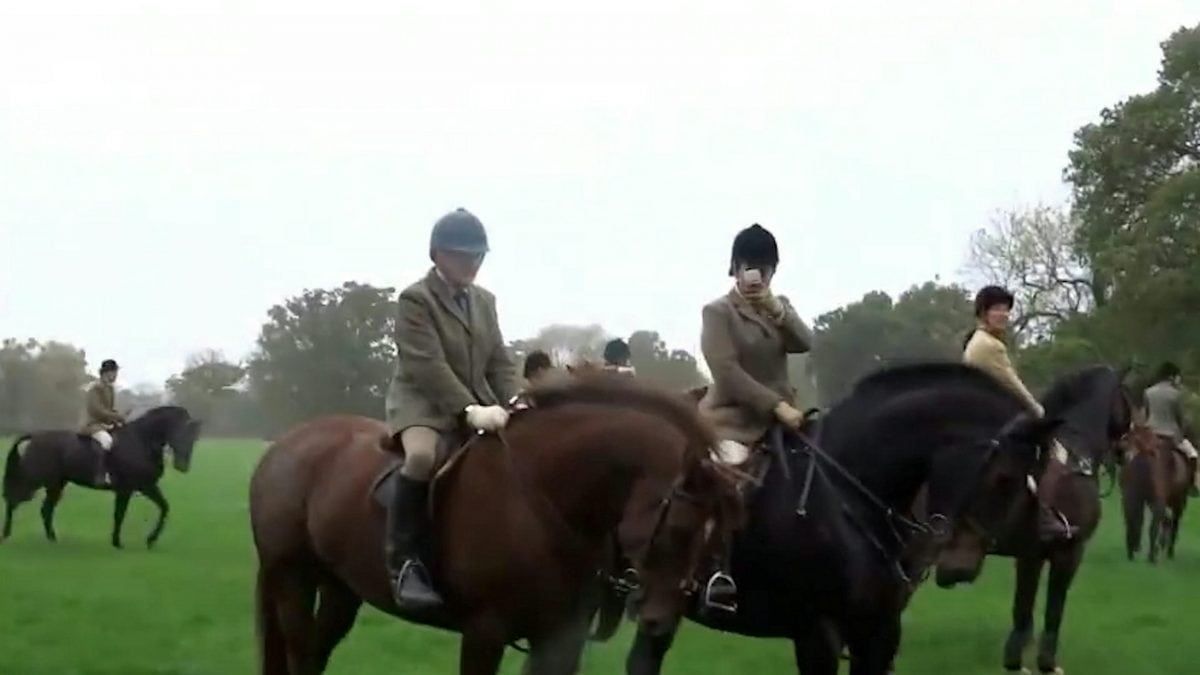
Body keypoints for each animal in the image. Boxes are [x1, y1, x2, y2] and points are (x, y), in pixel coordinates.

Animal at [1, 403, 202, 547]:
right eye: (182, 435)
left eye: (194, 439)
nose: (182, 467)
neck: (141, 441)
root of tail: (35, 436)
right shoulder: (126, 489)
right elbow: (119, 514)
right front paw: (117, 543)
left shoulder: (147, 486)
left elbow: (164, 508)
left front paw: (150, 540)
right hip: (34, 479)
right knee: (14, 499)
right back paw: (6, 535)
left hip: (56, 483)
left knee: (45, 509)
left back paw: (53, 539)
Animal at [248, 374, 744, 667]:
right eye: (680, 527)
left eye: (719, 536)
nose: (661, 623)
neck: (545, 497)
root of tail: (285, 445)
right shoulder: (484, 632)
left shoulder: (559, 639)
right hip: (292, 578)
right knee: (300, 653)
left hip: (339, 587)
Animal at [931, 365, 1137, 672]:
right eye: (1127, 400)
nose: (1130, 447)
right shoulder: (1066, 552)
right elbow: (1051, 608)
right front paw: (1045, 662)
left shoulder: (1030, 556)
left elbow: (1023, 609)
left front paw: (1016, 656)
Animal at [1118, 425, 1195, 562]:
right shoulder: (1177, 502)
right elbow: (1172, 524)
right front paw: (1166, 549)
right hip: (1166, 502)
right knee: (1155, 526)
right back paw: (1153, 556)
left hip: (1132, 498)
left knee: (1133, 520)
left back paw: (1133, 552)